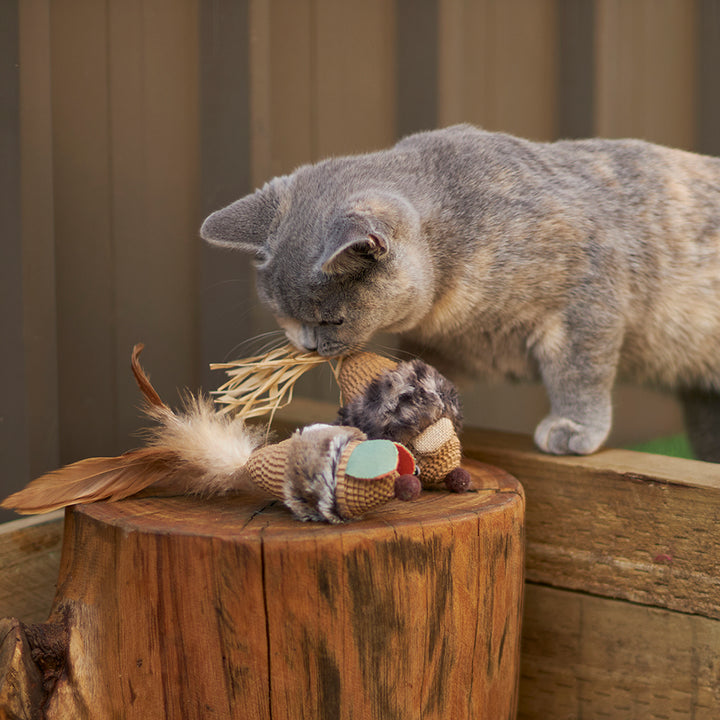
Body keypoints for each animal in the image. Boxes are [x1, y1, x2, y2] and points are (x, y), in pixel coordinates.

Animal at [200, 124, 720, 462]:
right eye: (280, 314)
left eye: (333, 320)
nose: (306, 346)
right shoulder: (447, 345)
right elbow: (424, 376)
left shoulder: (587, 302)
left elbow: (578, 373)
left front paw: (573, 428)